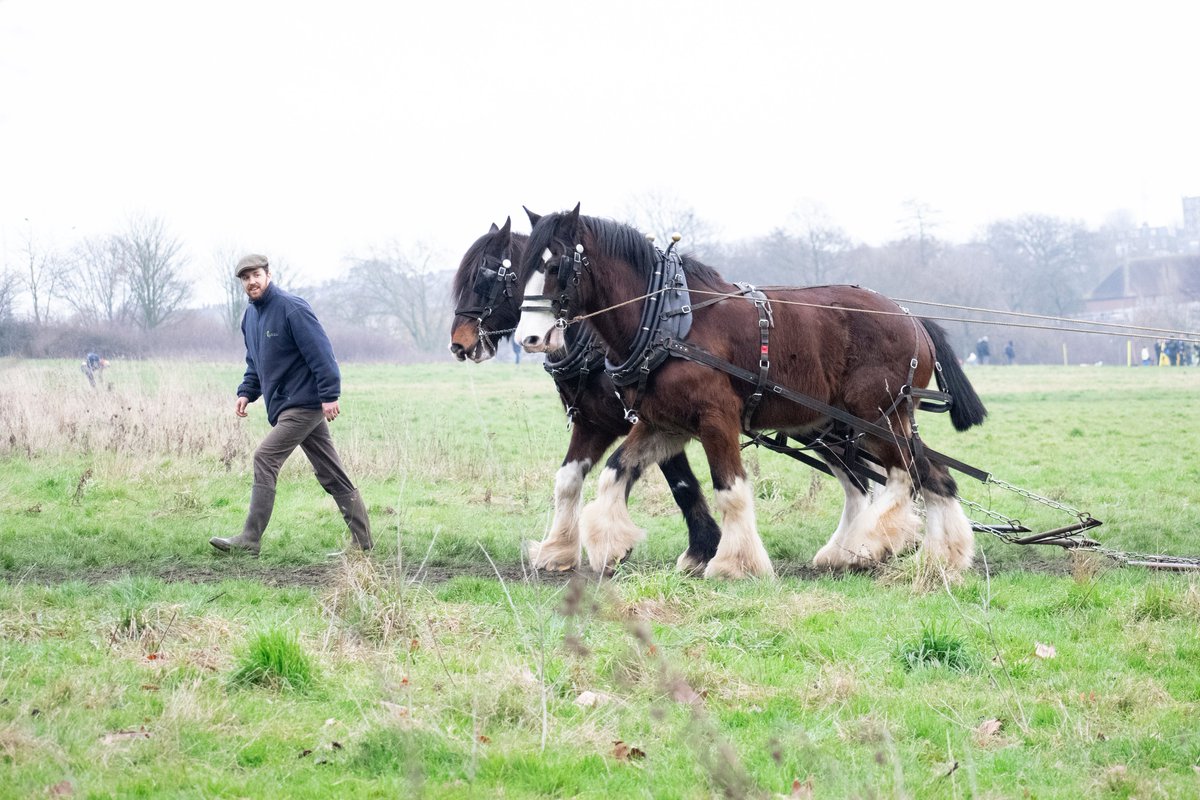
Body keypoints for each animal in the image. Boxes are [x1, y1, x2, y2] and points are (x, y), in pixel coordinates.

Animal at [449, 217, 722, 572]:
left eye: (485, 278)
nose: (459, 344)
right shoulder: (594, 423)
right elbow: (569, 479)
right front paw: (561, 548)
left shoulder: (656, 420)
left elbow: (680, 483)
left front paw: (702, 549)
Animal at [515, 204, 988, 579]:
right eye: (520, 271)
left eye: (556, 267)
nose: (529, 338)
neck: (668, 320)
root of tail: (912, 318)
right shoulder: (663, 424)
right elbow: (614, 472)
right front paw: (607, 544)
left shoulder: (716, 418)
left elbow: (731, 489)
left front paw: (733, 564)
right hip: (852, 425)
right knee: (932, 476)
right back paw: (940, 558)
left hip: (876, 417)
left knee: (903, 474)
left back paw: (870, 542)